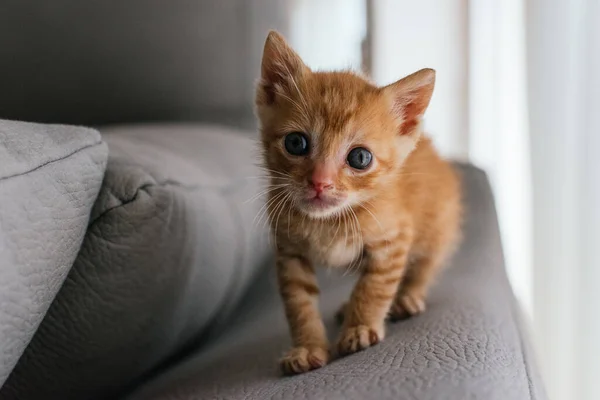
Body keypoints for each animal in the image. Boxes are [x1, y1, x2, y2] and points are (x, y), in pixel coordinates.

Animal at [253, 31, 460, 376]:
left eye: (359, 158)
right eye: (296, 143)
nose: (319, 182)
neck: (328, 221)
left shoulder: (395, 239)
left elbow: (374, 286)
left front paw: (360, 326)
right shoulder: (289, 252)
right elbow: (299, 303)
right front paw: (307, 347)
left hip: (438, 228)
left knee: (425, 266)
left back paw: (407, 297)